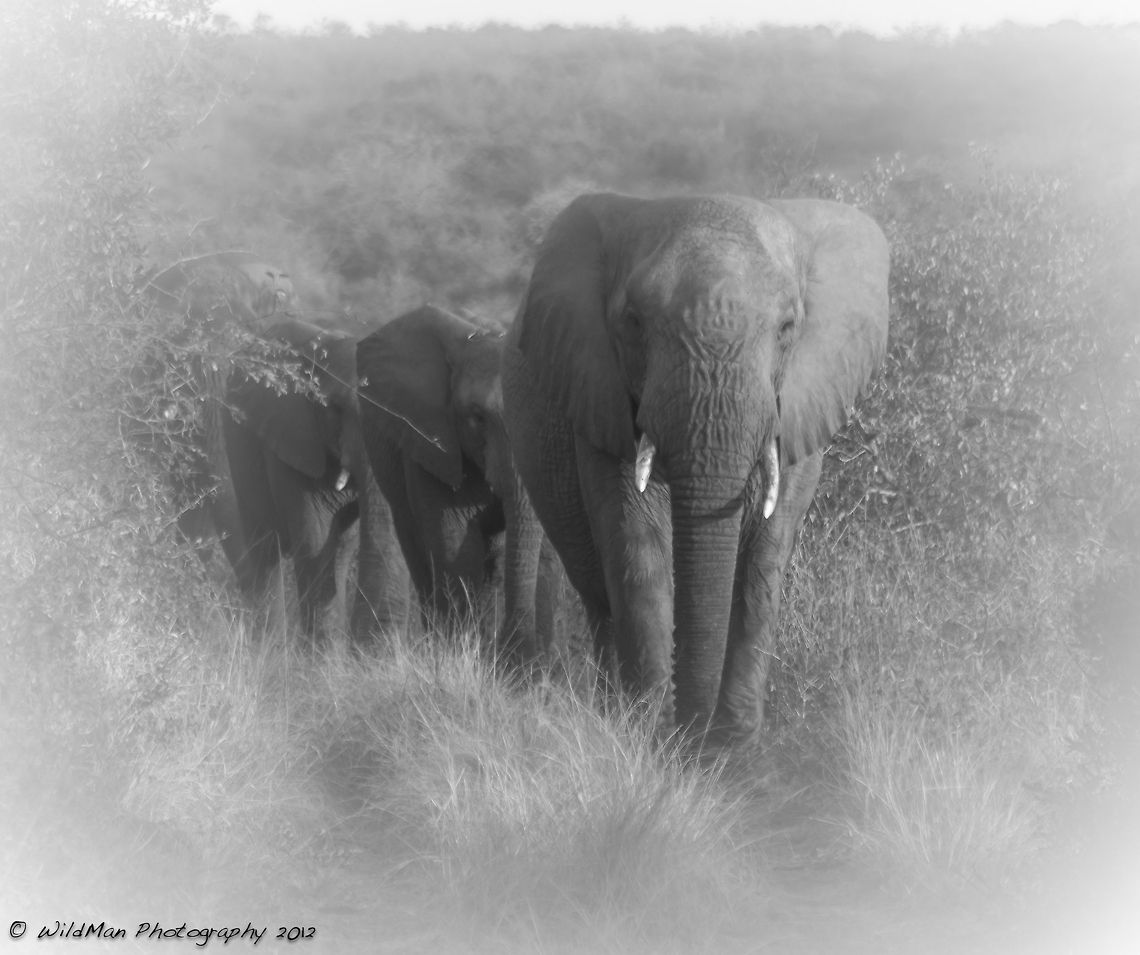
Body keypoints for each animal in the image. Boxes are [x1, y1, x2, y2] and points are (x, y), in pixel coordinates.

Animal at [223, 318, 411, 643]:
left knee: (341, 549)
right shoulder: (294, 440)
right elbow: (315, 535)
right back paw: (271, 648)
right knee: (265, 542)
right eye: (336, 409)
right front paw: (323, 658)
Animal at [356, 304, 553, 661]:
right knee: (419, 550)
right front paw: (464, 655)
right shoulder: (432, 442)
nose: (512, 653)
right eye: (477, 417)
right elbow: (459, 546)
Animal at [501, 193, 890, 750]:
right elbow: (638, 546)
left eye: (788, 329)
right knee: (598, 597)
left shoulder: (798, 407)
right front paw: (652, 742)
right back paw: (614, 714)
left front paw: (735, 756)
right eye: (633, 322)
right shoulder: (602, 396)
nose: (696, 740)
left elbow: (764, 562)